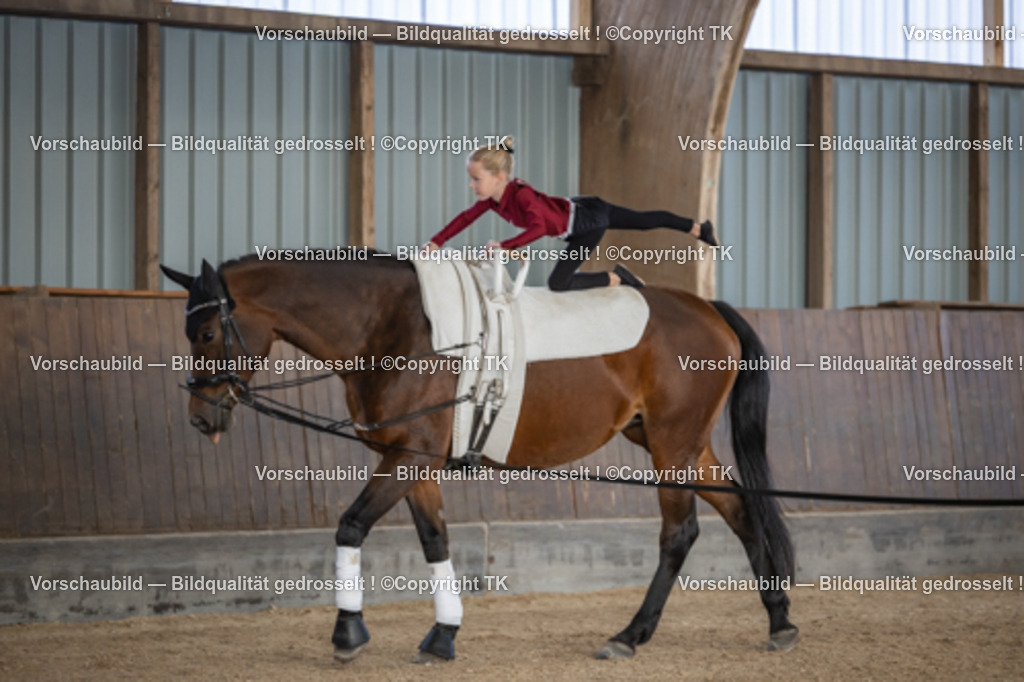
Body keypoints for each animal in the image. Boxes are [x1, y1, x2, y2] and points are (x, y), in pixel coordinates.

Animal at [160, 251, 799, 663]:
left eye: (208, 333)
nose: (201, 417)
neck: (391, 326)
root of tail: (708, 309)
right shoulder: (412, 459)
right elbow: (435, 540)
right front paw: (443, 636)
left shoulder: (408, 456)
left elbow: (350, 526)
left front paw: (347, 633)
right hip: (680, 446)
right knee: (741, 512)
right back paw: (780, 620)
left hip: (672, 446)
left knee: (679, 533)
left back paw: (629, 635)